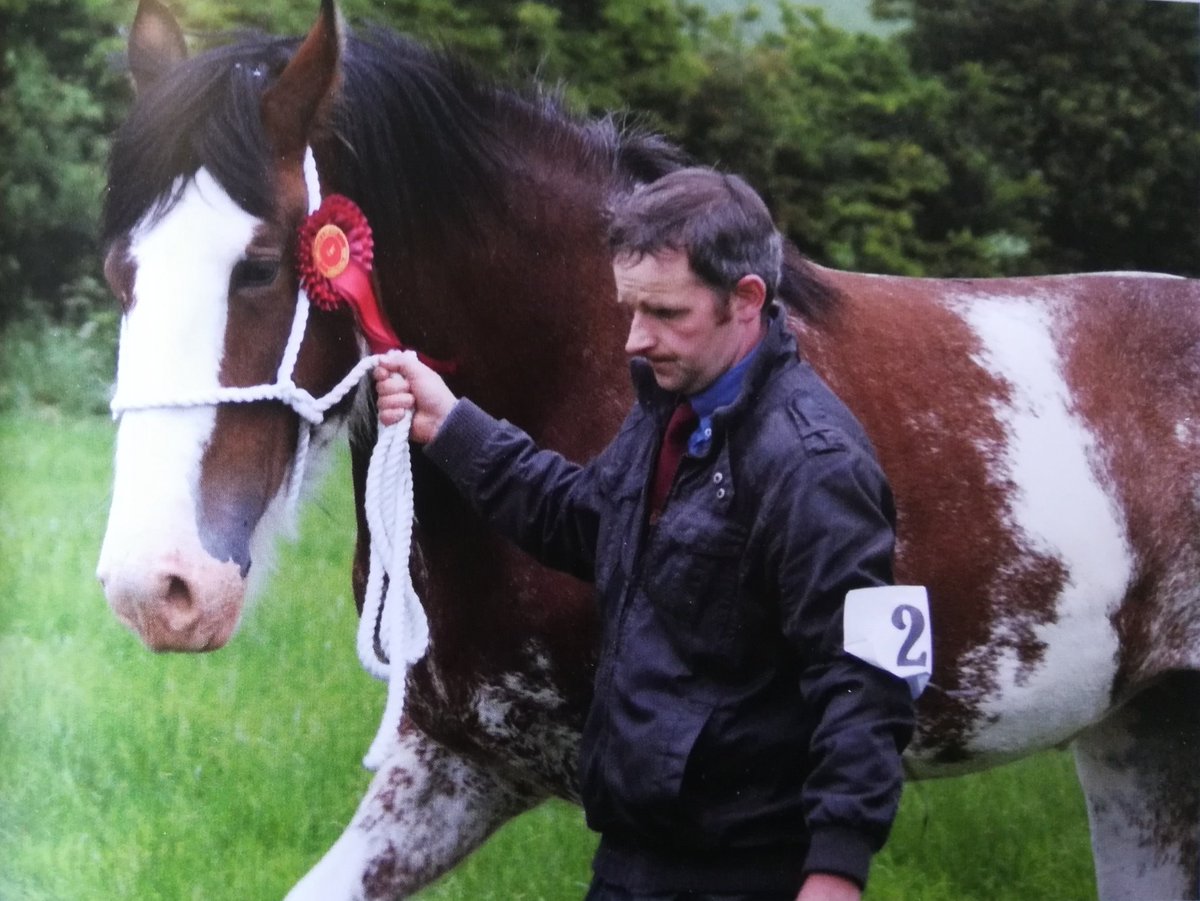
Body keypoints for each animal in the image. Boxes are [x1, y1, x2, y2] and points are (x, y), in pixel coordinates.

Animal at [96, 1, 1200, 901]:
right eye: (118, 272)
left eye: (263, 265)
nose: (158, 587)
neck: (582, 363)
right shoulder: (455, 762)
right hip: (1140, 740)